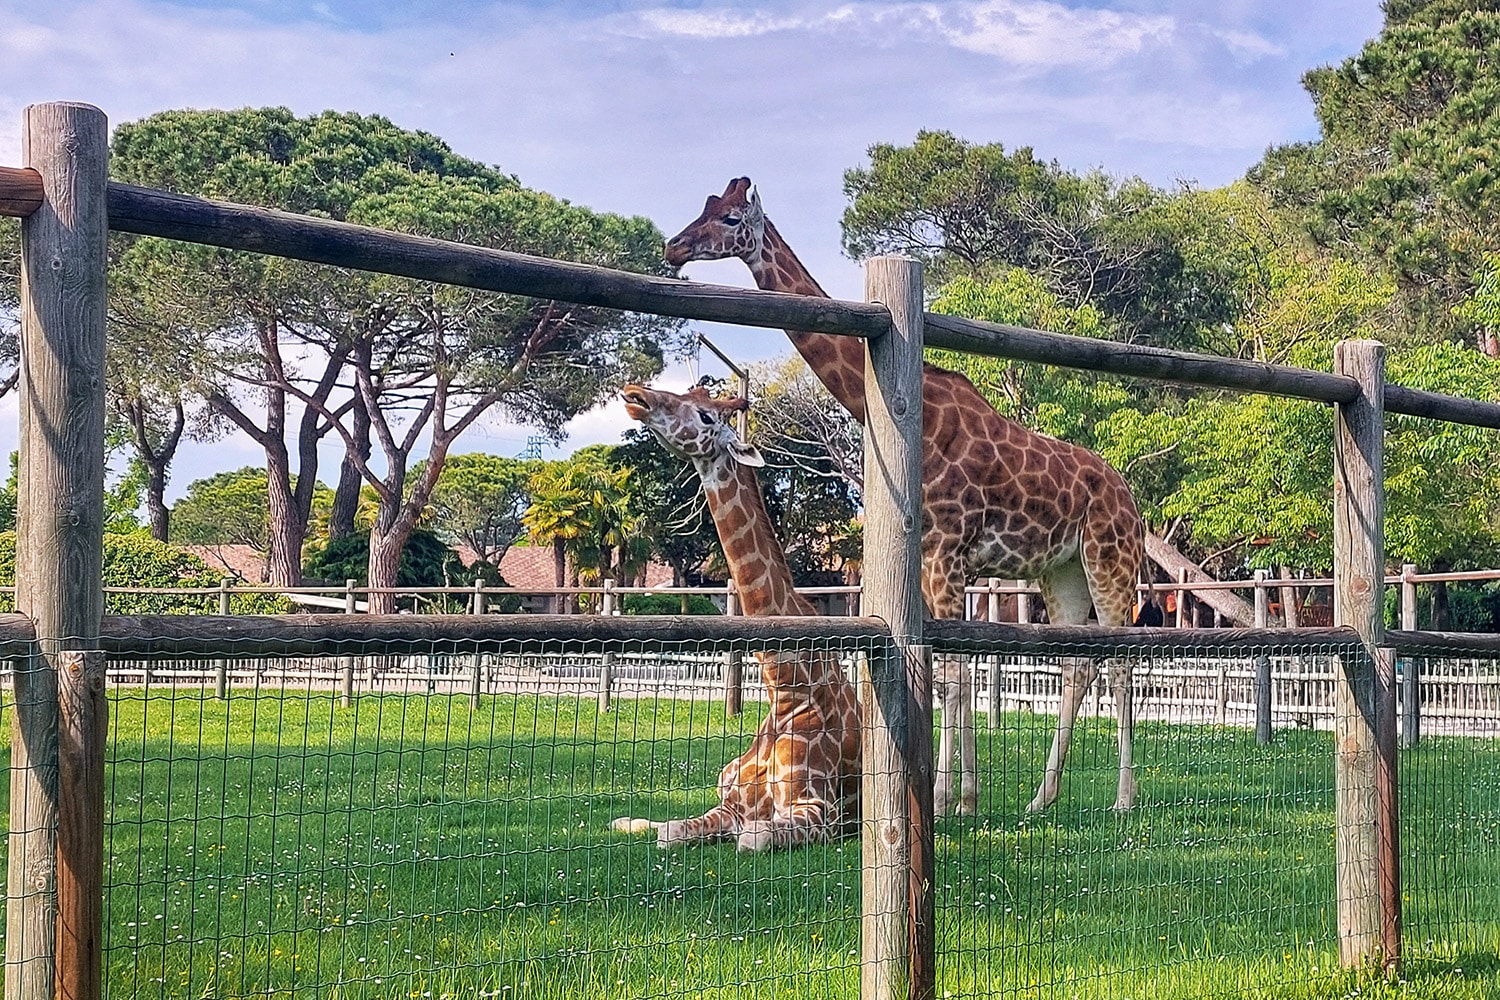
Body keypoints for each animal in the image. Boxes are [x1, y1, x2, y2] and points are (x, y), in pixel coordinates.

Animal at [609, 383, 864, 851]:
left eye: (707, 416)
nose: (636, 395)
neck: (785, 691)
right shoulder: (731, 802)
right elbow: (671, 830)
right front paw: (636, 824)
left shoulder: (821, 811)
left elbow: (752, 838)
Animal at [663, 177, 1140, 815]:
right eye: (706, 205)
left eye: (732, 217)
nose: (674, 247)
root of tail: (1129, 499)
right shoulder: (936, 556)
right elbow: (944, 672)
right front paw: (960, 796)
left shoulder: (949, 552)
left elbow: (955, 675)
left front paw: (947, 798)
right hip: (1061, 572)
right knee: (1078, 667)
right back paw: (1042, 798)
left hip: (1110, 561)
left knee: (1120, 665)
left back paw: (1125, 798)